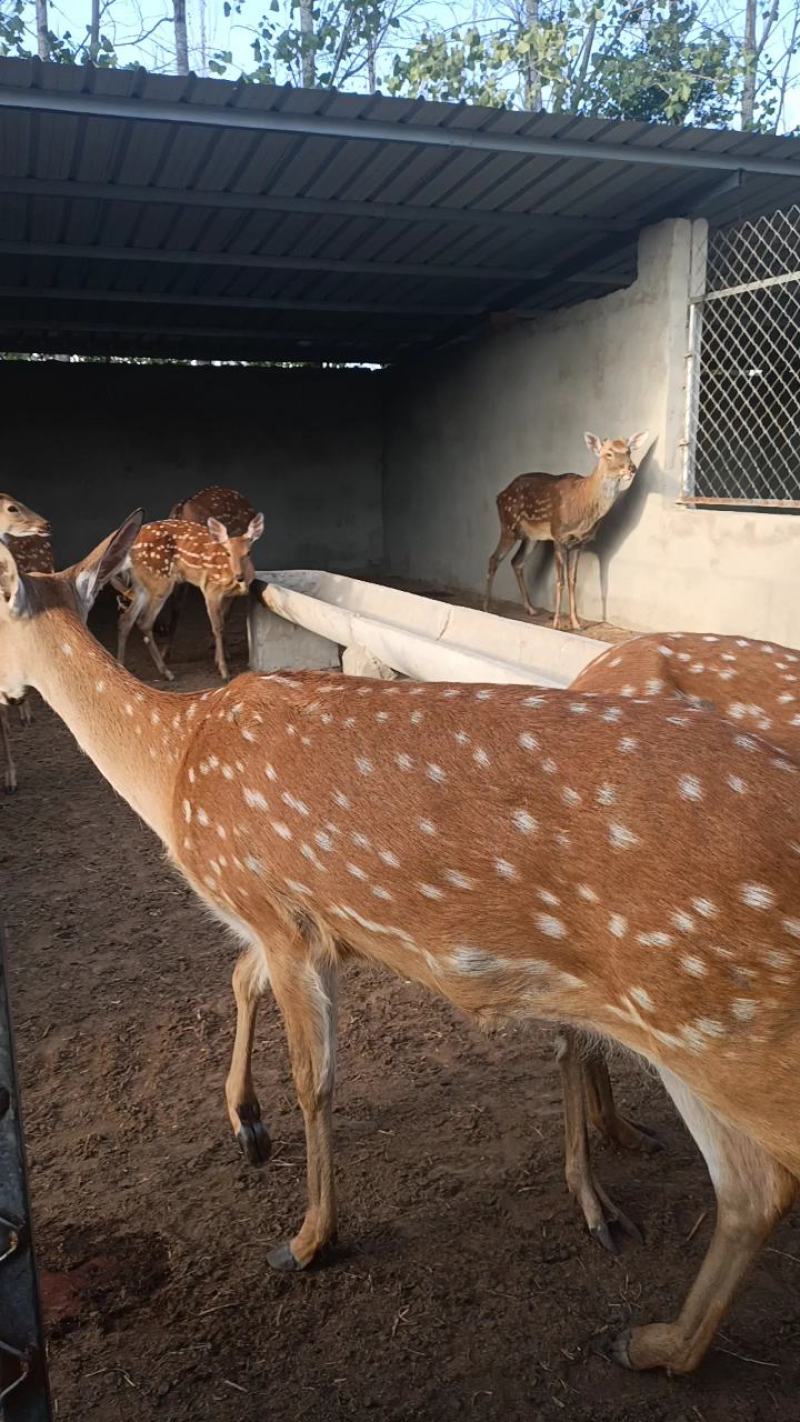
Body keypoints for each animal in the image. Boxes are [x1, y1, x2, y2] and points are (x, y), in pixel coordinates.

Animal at [115, 513, 264, 683]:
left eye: (248, 553)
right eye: (228, 553)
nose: (239, 576)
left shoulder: (228, 597)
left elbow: (224, 621)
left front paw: (219, 659)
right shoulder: (211, 589)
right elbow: (217, 627)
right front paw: (224, 671)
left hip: (142, 584)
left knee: (126, 619)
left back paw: (121, 666)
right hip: (160, 579)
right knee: (144, 621)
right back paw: (167, 672)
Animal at [484, 432, 649, 631]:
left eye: (628, 451)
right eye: (608, 453)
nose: (631, 468)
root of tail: (499, 495)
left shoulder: (579, 543)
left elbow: (572, 579)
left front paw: (576, 622)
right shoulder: (558, 536)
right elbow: (560, 580)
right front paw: (557, 623)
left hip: (532, 537)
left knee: (516, 561)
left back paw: (531, 609)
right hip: (509, 525)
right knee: (494, 558)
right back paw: (487, 607)